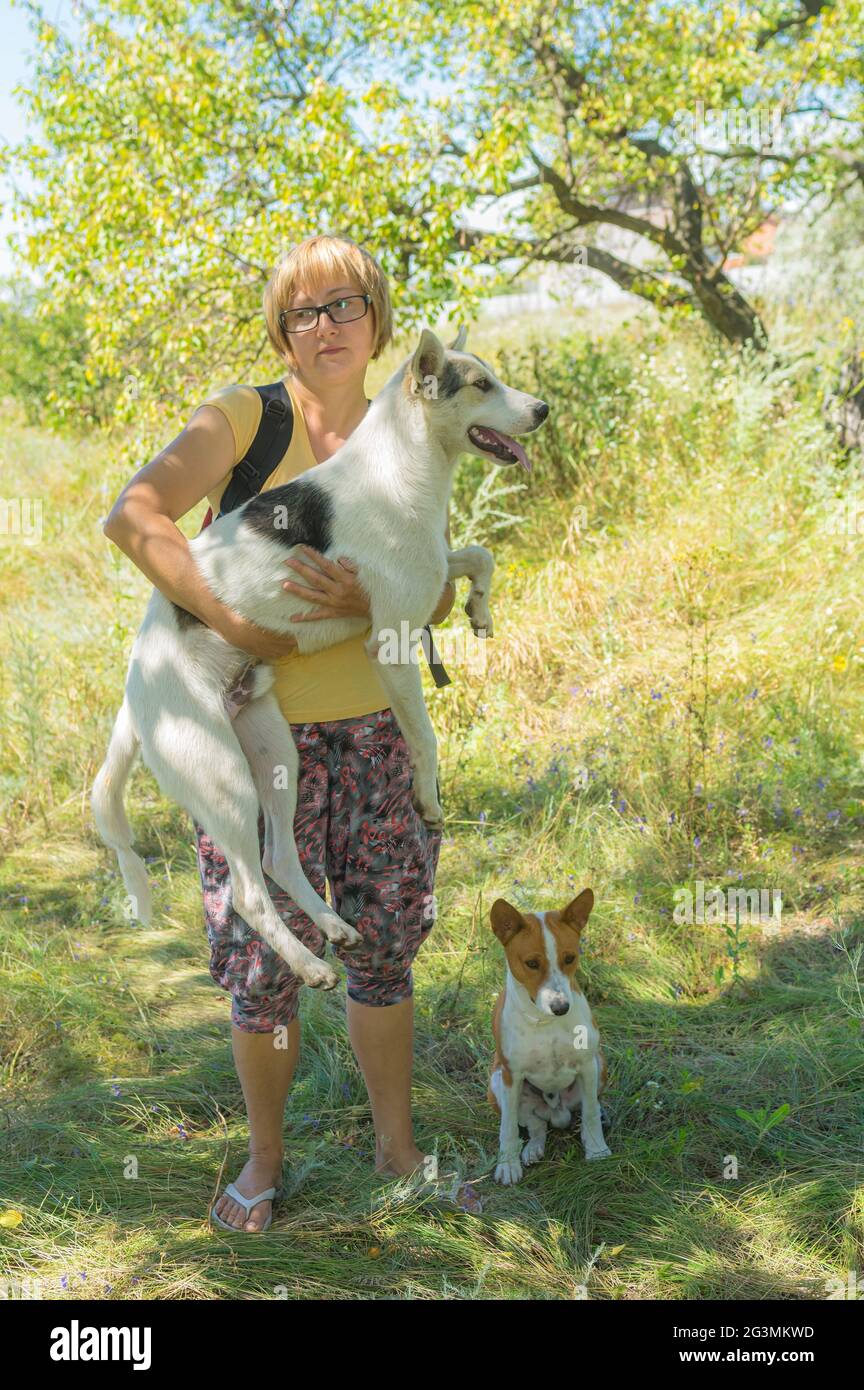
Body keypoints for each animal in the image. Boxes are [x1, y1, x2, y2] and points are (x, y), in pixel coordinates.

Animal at [488, 889, 616, 1184]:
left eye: (569, 958)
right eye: (532, 963)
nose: (561, 1007)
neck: (545, 1022)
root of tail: (557, 1113)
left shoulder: (587, 1065)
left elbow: (590, 1114)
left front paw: (596, 1150)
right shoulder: (511, 1076)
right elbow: (507, 1129)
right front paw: (507, 1164)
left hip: (600, 1063)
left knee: (588, 1107)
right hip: (496, 1081)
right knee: (535, 1126)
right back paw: (532, 1149)